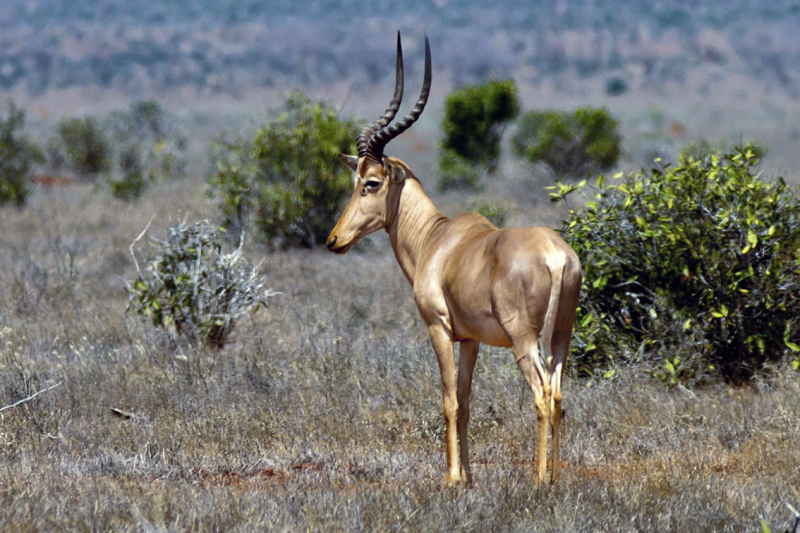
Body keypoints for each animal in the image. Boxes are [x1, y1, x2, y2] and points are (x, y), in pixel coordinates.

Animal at [324, 31, 580, 484]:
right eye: (355, 179)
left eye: (370, 182)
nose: (335, 239)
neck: (439, 239)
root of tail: (556, 257)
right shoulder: (471, 340)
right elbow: (466, 402)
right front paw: (469, 478)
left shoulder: (439, 329)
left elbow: (448, 401)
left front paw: (452, 479)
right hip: (562, 336)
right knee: (559, 396)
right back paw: (553, 477)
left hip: (523, 340)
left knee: (542, 395)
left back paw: (537, 480)